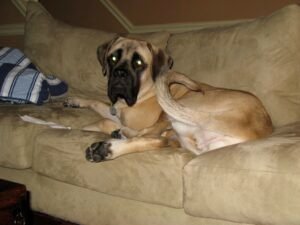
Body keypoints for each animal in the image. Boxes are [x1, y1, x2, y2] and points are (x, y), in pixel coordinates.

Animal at [64, 35, 274, 162]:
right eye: (113, 58)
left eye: (138, 63)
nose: (120, 74)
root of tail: (256, 128)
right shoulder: (116, 111)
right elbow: (99, 103)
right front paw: (76, 101)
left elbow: (104, 121)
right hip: (183, 135)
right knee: (158, 140)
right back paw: (109, 147)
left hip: (183, 107)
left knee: (149, 135)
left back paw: (111, 142)